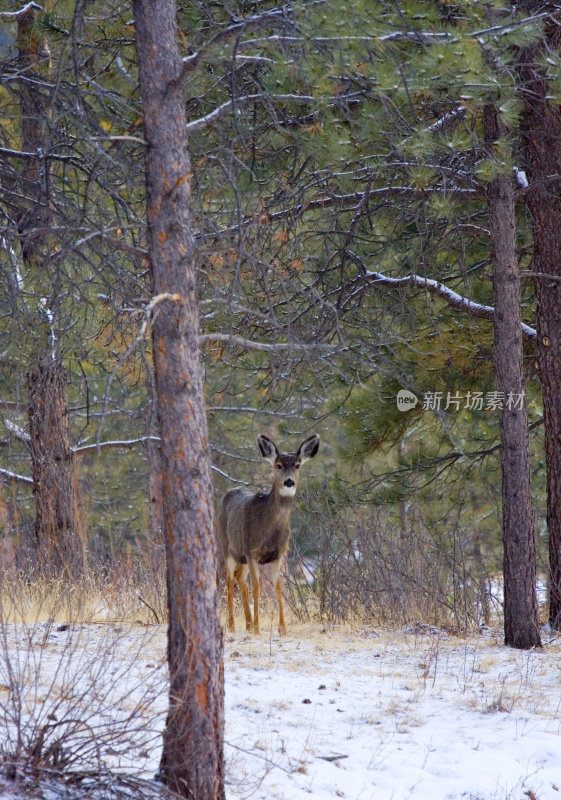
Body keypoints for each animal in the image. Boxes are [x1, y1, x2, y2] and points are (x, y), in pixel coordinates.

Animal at [217, 434, 318, 636]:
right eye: (278, 465)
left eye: (297, 465)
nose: (289, 482)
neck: (270, 531)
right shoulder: (252, 550)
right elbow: (257, 587)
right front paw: (257, 628)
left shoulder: (279, 553)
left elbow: (278, 587)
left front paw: (282, 629)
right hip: (228, 548)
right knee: (230, 581)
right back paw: (233, 625)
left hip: (242, 556)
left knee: (240, 580)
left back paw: (247, 624)